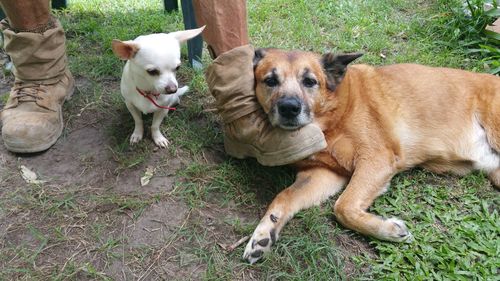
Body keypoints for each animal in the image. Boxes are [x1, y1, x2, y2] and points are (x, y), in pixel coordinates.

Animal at [241, 47, 496, 262]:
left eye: (310, 81)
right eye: (270, 81)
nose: (289, 108)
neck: (334, 117)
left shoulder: (376, 160)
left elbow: (343, 207)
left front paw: (387, 230)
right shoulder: (322, 174)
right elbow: (284, 196)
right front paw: (263, 233)